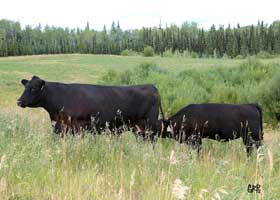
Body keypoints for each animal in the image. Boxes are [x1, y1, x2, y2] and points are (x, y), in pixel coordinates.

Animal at [17, 75, 164, 139]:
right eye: (25, 87)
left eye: (34, 88)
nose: (19, 101)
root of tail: (152, 86)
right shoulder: (60, 127)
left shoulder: (78, 127)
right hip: (138, 128)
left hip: (149, 124)